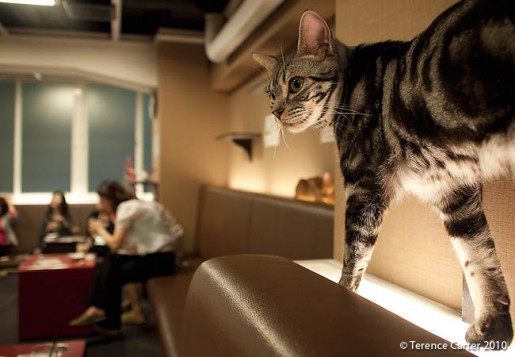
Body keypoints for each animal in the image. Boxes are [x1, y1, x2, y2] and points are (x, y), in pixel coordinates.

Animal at [255, 0, 515, 346]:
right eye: (271, 95)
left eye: (296, 84)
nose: (276, 113)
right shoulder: (453, 192)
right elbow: (480, 255)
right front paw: (494, 325)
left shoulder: (363, 188)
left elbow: (354, 255)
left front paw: (341, 295)